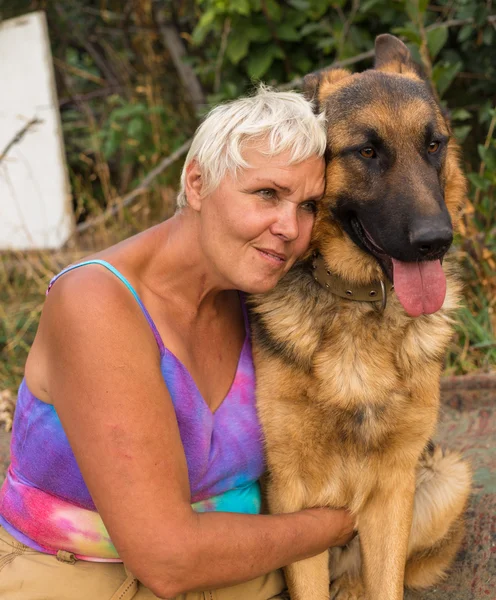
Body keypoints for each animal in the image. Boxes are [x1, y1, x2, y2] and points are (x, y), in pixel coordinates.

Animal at [250, 35, 470, 596]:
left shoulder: (392, 490)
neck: (356, 306)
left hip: (447, 476)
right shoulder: (294, 498)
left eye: (434, 145)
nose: (436, 241)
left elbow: (386, 582)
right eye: (367, 152)